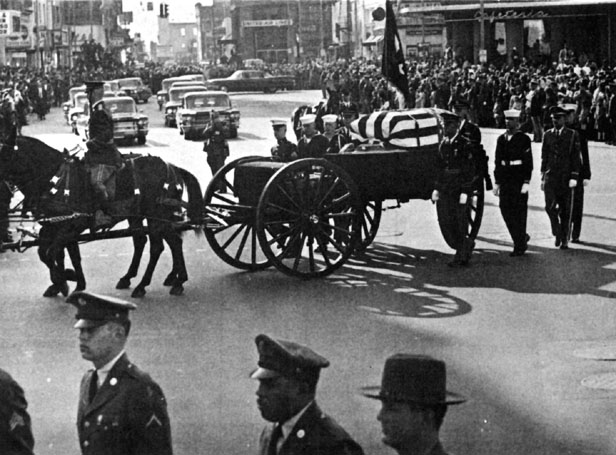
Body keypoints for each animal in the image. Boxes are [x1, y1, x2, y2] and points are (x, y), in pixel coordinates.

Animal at [0, 126, 207, 302]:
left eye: (5, 154)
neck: (54, 178)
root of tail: (172, 167)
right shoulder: (54, 226)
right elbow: (53, 254)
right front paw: (71, 282)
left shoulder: (71, 225)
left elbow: (53, 253)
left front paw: (65, 279)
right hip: (143, 216)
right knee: (158, 242)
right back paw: (153, 279)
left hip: (156, 216)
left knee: (161, 246)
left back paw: (151, 284)